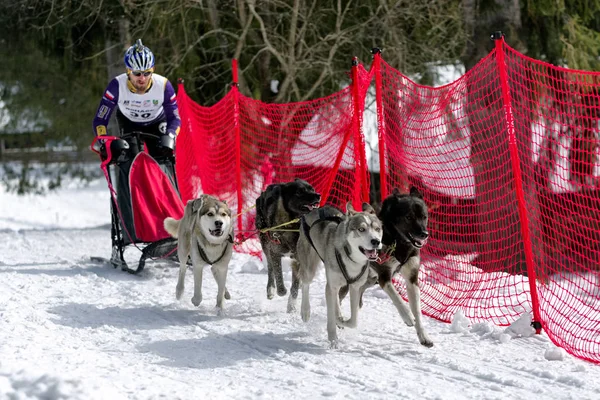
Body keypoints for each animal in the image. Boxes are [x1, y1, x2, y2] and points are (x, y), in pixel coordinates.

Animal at [292, 203, 384, 346]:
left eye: (377, 228)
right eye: (361, 229)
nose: (376, 241)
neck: (351, 258)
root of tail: (315, 209)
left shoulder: (355, 287)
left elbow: (353, 321)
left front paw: (341, 320)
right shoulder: (331, 286)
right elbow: (330, 318)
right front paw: (333, 339)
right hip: (309, 268)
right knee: (305, 284)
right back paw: (305, 311)